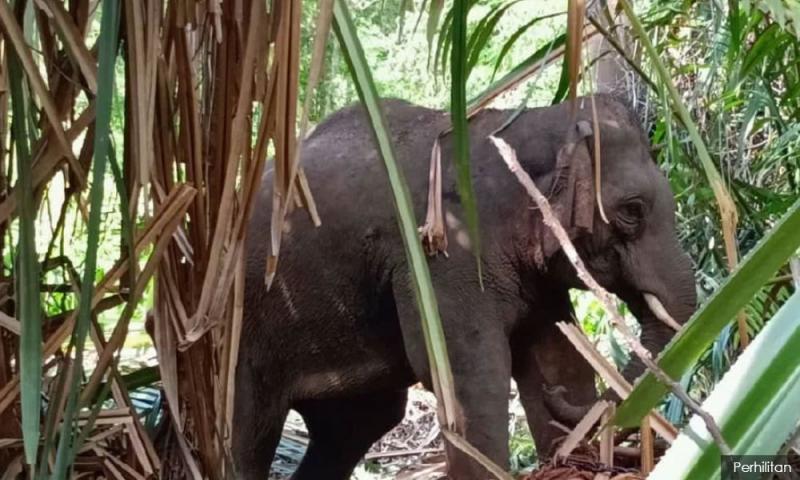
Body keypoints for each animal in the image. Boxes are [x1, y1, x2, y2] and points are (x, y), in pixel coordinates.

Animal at [232, 95, 697, 479]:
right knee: (248, 432)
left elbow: (555, 357)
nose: (562, 404)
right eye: (633, 210)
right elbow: (471, 372)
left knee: (359, 423)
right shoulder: (442, 254)